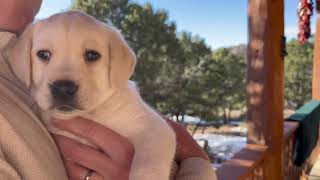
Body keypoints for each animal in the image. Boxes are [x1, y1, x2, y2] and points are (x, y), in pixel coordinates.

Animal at [7, 10, 176, 180]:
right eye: (43, 54)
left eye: (92, 55)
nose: (63, 88)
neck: (91, 114)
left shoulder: (154, 128)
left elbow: (149, 164)